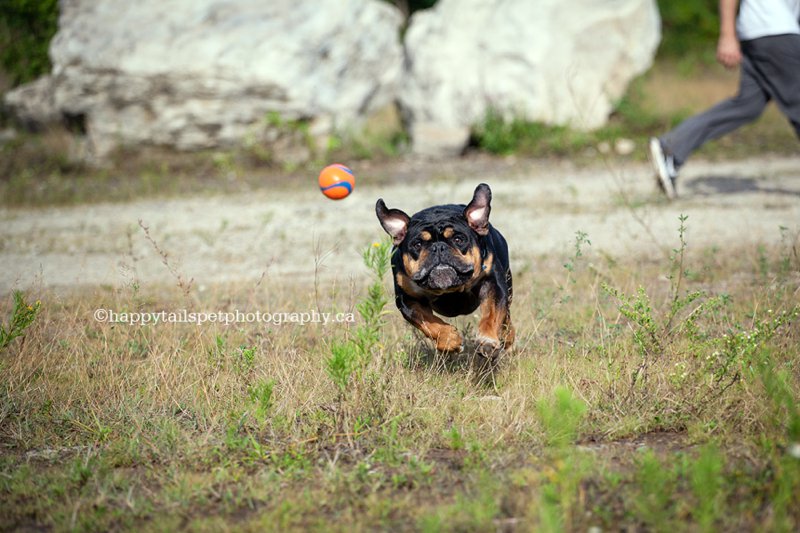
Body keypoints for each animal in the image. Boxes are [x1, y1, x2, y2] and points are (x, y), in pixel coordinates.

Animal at [376, 184, 512, 358]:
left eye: (459, 239)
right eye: (417, 244)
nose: (438, 247)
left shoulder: (493, 283)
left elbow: (492, 314)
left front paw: (487, 341)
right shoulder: (407, 299)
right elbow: (427, 322)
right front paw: (449, 339)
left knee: (506, 314)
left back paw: (507, 336)